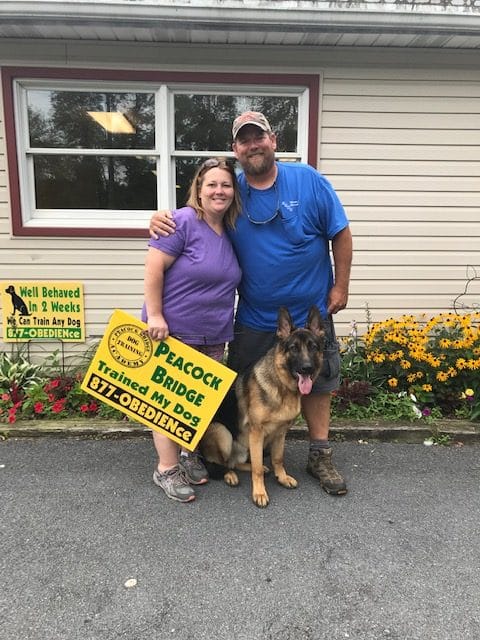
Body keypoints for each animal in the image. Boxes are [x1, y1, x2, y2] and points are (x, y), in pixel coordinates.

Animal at [200, 305, 325, 507]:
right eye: (293, 348)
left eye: (313, 347)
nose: (307, 368)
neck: (282, 387)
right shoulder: (257, 432)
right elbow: (257, 469)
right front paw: (259, 492)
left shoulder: (281, 433)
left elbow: (278, 458)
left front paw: (282, 477)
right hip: (223, 434)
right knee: (222, 464)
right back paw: (230, 475)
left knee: (236, 462)